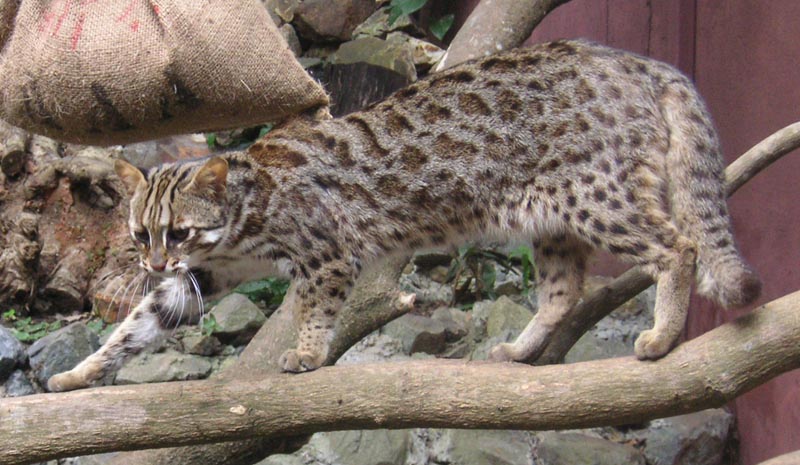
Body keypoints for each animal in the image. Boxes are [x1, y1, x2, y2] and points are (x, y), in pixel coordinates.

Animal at [47, 38, 760, 390]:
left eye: (180, 231)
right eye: (140, 233)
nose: (153, 262)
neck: (239, 219)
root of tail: (639, 61)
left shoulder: (326, 255)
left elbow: (314, 308)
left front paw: (308, 354)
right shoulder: (211, 273)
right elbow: (139, 324)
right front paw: (84, 373)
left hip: (596, 198)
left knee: (679, 248)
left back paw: (662, 334)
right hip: (551, 222)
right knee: (564, 291)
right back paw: (522, 350)